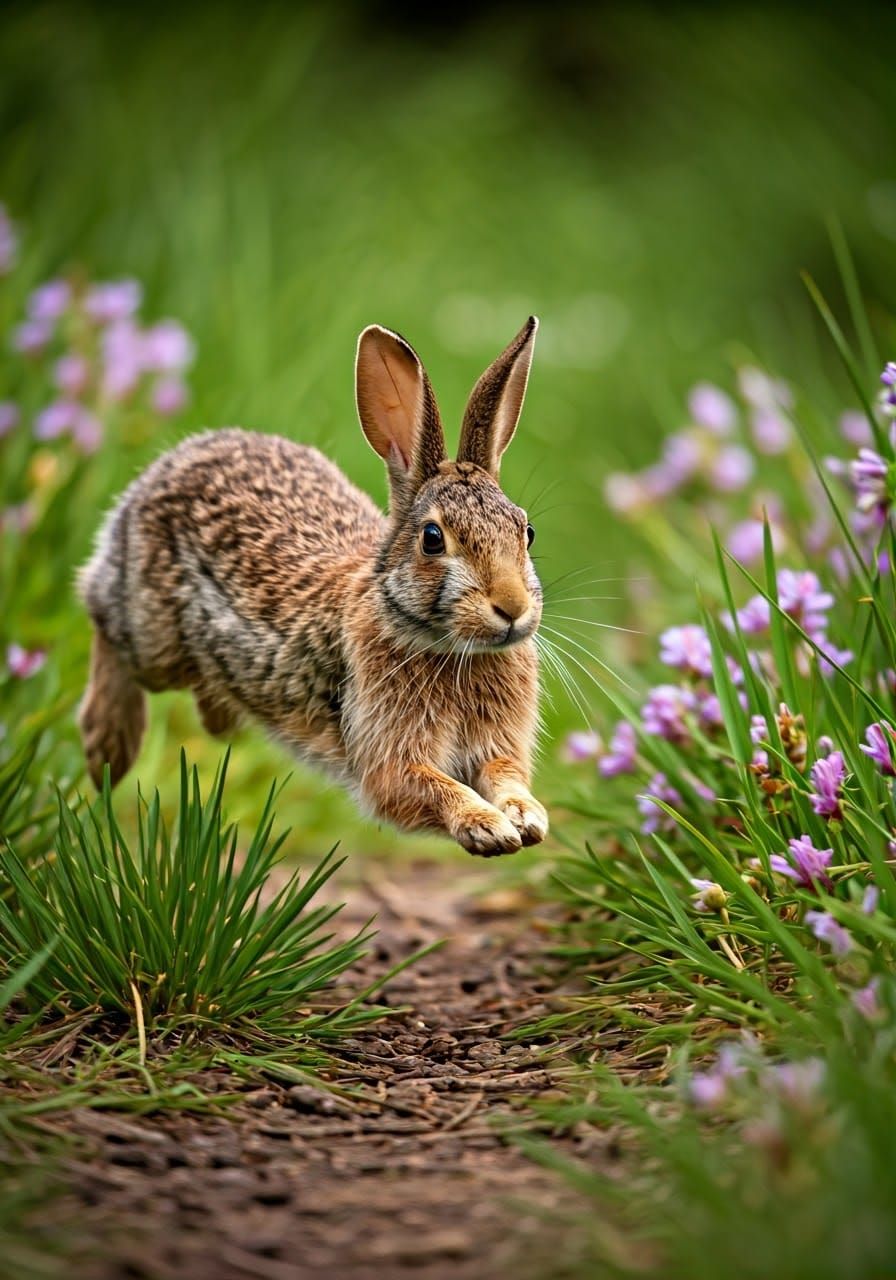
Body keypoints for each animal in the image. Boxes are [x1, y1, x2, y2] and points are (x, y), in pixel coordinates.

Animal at [77, 317, 547, 856]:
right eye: (433, 539)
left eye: (526, 531)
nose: (512, 608)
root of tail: (172, 461)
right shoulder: (387, 756)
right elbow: (429, 786)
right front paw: (486, 825)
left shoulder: (496, 747)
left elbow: (506, 775)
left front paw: (527, 817)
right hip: (153, 637)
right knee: (99, 609)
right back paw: (106, 744)